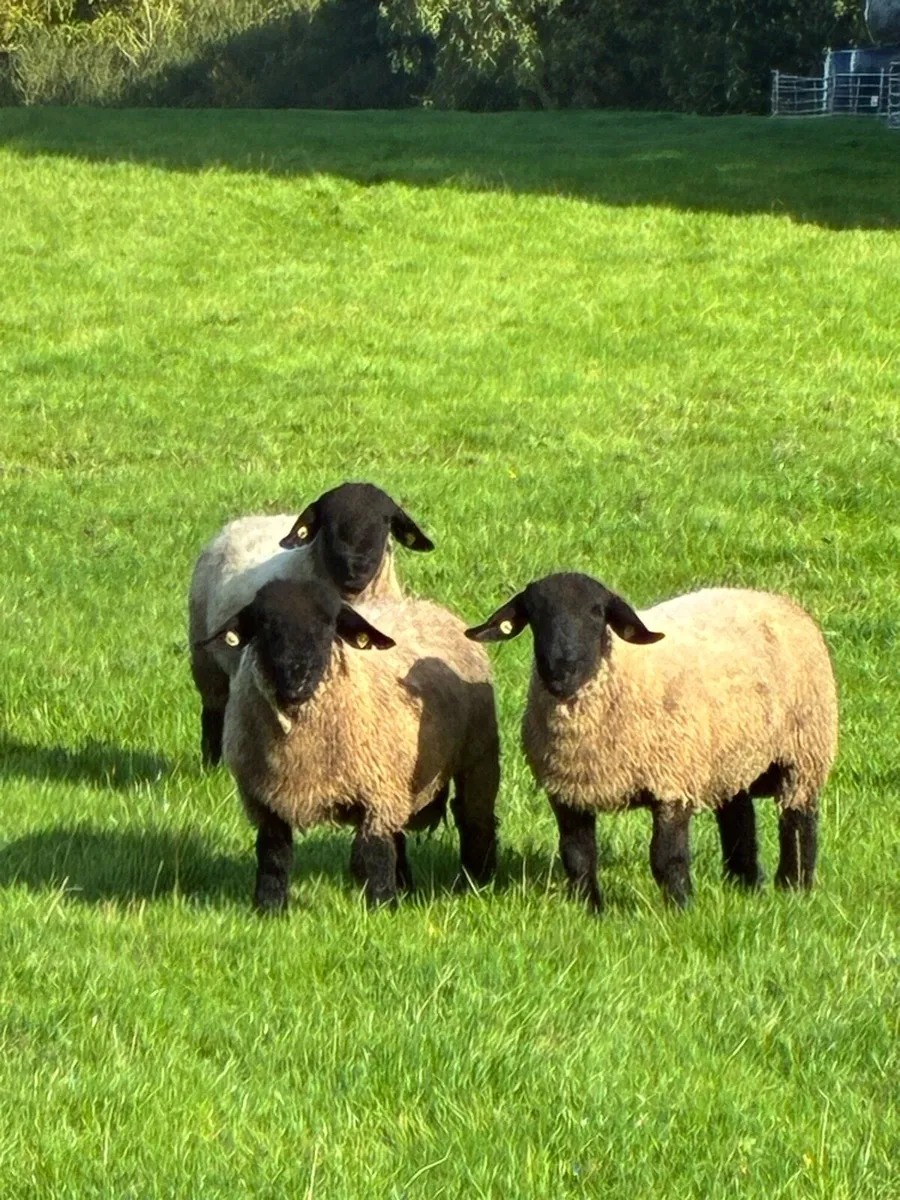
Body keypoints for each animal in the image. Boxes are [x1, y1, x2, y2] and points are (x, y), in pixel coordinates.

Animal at [188, 482, 434, 767]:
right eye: (329, 522)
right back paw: (211, 764)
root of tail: (248, 519)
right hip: (206, 662)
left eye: (385, 522)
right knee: (213, 712)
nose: (355, 569)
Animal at [198, 576, 500, 911]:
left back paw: (476, 881)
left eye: (329, 624)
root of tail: (426, 604)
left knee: (474, 818)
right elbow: (273, 855)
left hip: (478, 756)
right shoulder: (264, 800)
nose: (297, 677)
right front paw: (269, 908)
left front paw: (383, 907)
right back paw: (408, 887)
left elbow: (376, 856)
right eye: (264, 624)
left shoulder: (377, 791)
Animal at [466, 572, 838, 912]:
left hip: (804, 751)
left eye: (597, 612)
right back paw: (744, 883)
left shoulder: (671, 782)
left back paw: (795, 886)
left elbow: (666, 858)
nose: (561, 669)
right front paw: (591, 911)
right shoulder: (569, 791)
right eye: (534, 614)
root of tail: (771, 597)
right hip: (729, 754)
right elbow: (578, 856)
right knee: (738, 815)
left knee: (798, 821)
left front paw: (680, 909)